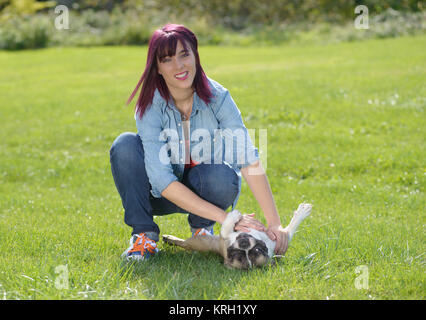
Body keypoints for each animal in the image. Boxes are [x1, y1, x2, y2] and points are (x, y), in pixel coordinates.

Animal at [163, 202, 312, 270]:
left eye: (257, 250)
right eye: (234, 253)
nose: (244, 243)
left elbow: (291, 227)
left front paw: (302, 212)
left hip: (198, 242)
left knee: (184, 244)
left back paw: (169, 239)